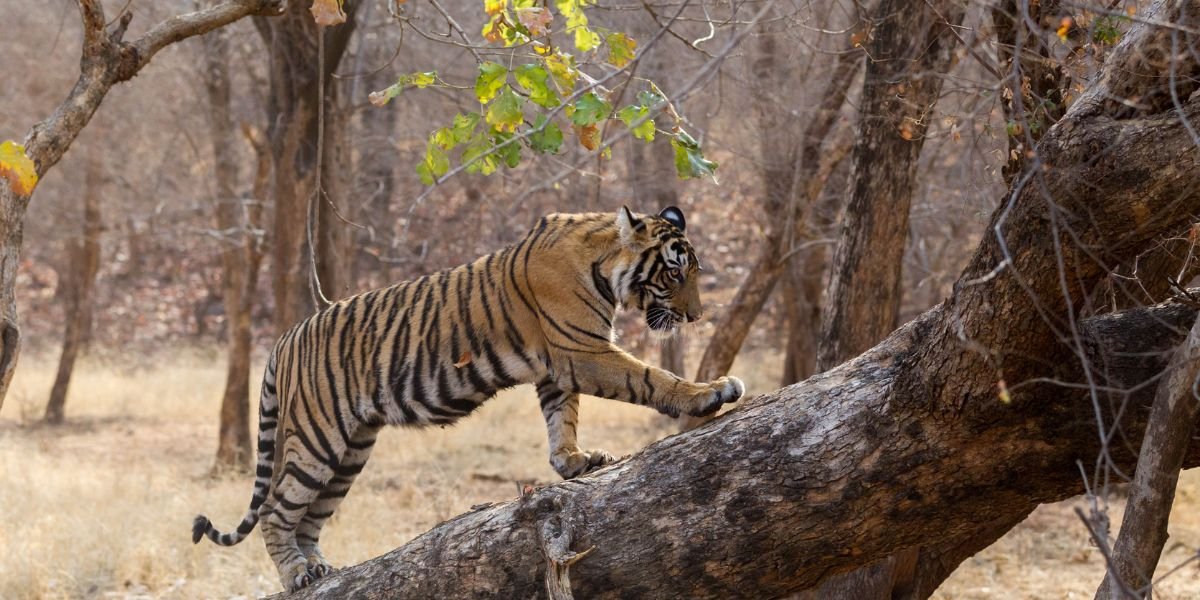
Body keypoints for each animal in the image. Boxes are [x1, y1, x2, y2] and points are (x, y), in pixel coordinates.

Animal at [191, 205, 745, 591]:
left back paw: (319, 568)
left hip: (350, 452)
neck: (604, 261)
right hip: (316, 439)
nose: (696, 316)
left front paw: (574, 461)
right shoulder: (581, 351)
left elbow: (561, 418)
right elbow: (652, 377)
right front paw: (710, 392)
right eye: (675, 273)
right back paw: (296, 574)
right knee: (276, 509)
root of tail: (284, 339)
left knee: (308, 516)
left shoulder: (558, 367)